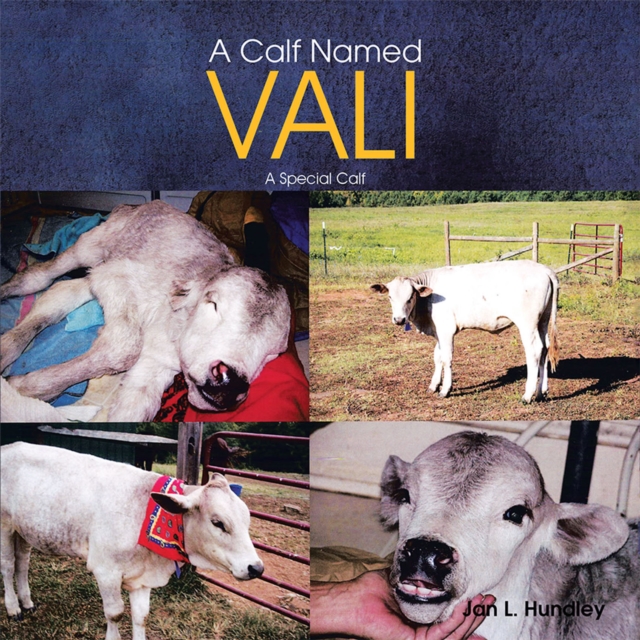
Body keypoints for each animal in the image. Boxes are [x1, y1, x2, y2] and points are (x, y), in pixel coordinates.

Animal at [0, 201, 290, 421]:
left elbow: (132, 410)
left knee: (61, 293)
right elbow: (124, 346)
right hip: (92, 247)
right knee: (38, 277)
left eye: (273, 354)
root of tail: (134, 205)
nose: (229, 382)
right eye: (214, 304)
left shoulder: (154, 368)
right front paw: (24, 386)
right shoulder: (118, 275)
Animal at [1, 442, 264, 640]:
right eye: (218, 522)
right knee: (8, 566)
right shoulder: (105, 570)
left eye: (247, 520)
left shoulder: (142, 579)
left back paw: (27, 602)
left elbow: (141, 616)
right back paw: (14, 608)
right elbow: (115, 613)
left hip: (24, 529)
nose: (256, 568)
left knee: (22, 563)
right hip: (4, 526)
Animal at [371, 260, 559, 403]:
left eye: (410, 297)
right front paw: (433, 385)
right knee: (545, 348)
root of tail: (545, 270)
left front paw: (445, 389)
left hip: (527, 324)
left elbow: (446, 358)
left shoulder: (446, 329)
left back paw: (528, 395)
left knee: (534, 351)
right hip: (543, 321)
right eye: (390, 297)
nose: (399, 319)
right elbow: (437, 357)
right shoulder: (438, 331)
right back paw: (541, 392)